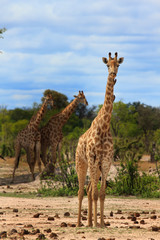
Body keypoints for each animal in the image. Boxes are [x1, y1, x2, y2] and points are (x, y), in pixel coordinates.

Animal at [76, 52, 124, 227]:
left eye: (118, 64)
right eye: (107, 65)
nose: (113, 74)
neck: (104, 127)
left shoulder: (106, 160)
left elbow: (101, 194)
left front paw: (101, 223)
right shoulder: (92, 157)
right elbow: (96, 194)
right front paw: (97, 224)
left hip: (95, 167)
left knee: (89, 190)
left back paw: (90, 222)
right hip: (81, 163)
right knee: (81, 191)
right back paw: (79, 223)